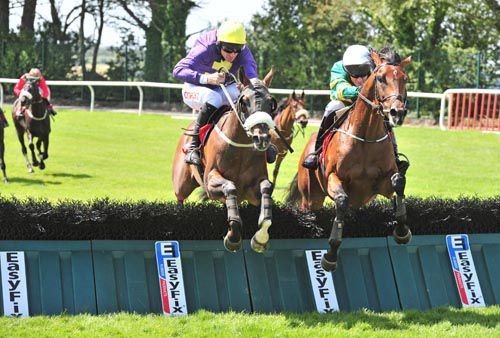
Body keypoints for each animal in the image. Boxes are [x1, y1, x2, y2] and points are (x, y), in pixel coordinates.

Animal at [173, 69, 280, 254]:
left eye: (270, 102)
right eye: (244, 102)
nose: (261, 138)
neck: (240, 147)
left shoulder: (253, 190)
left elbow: (266, 189)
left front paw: (260, 238)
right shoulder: (210, 183)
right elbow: (230, 187)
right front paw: (233, 237)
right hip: (181, 184)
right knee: (180, 198)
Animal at [288, 49, 412, 272]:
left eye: (404, 79)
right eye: (380, 78)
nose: (397, 113)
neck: (365, 136)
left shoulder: (383, 182)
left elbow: (398, 183)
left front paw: (402, 231)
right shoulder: (333, 178)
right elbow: (341, 201)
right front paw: (330, 255)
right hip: (311, 198)